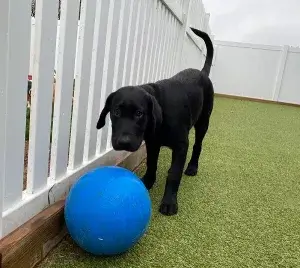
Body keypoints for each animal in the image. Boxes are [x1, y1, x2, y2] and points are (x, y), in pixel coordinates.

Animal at [96, 27, 213, 216]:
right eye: (116, 112)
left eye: (139, 113)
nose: (123, 142)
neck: (161, 116)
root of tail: (202, 72)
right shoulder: (152, 143)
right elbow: (151, 163)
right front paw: (147, 183)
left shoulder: (181, 145)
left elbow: (174, 173)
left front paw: (169, 202)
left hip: (203, 122)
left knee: (198, 145)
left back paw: (192, 167)